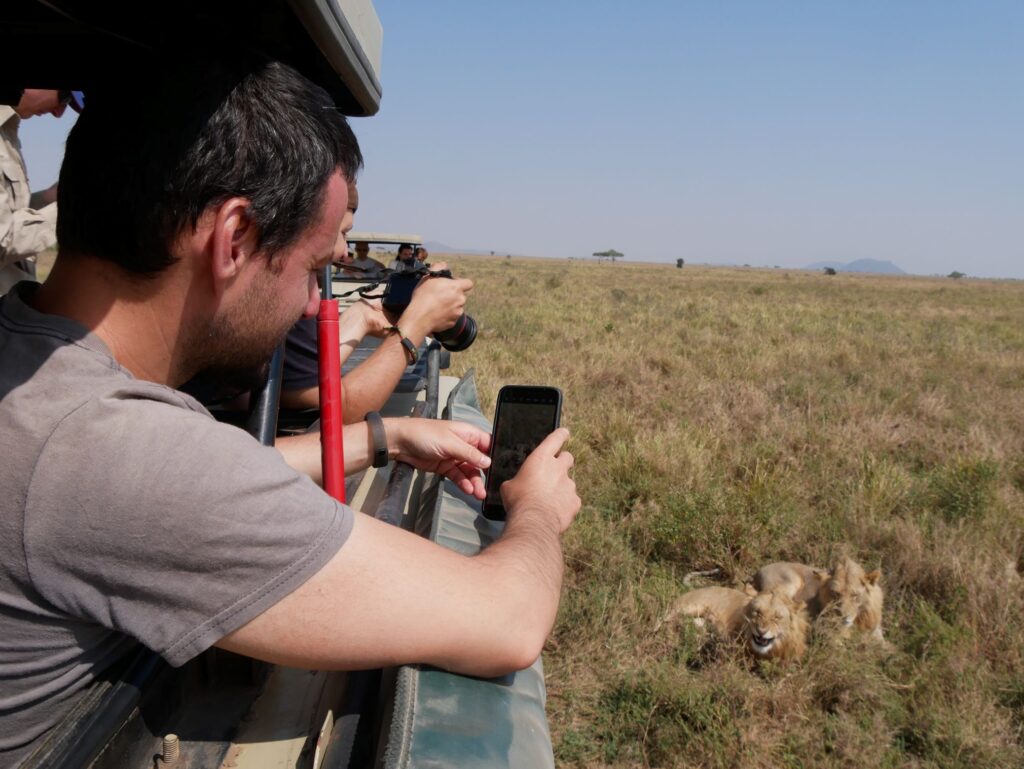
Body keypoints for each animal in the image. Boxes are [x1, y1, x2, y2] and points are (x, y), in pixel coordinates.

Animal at [753, 557, 888, 638]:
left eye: (855, 595)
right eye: (836, 594)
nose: (842, 617)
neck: (859, 618)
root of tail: (758, 570)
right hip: (790, 581)